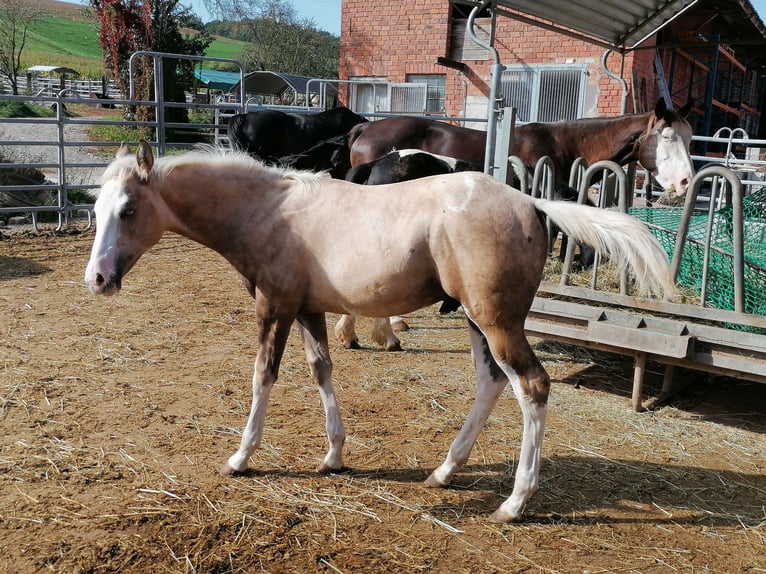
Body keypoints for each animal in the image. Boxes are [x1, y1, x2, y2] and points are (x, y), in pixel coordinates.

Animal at [84, 142, 676, 524]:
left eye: (129, 209)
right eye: (95, 209)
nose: (97, 280)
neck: (270, 210)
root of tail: (531, 201)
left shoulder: (273, 305)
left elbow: (263, 378)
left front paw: (239, 458)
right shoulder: (309, 310)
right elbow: (321, 370)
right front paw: (333, 457)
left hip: (495, 320)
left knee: (531, 386)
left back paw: (513, 504)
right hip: (476, 319)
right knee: (490, 382)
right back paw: (444, 471)